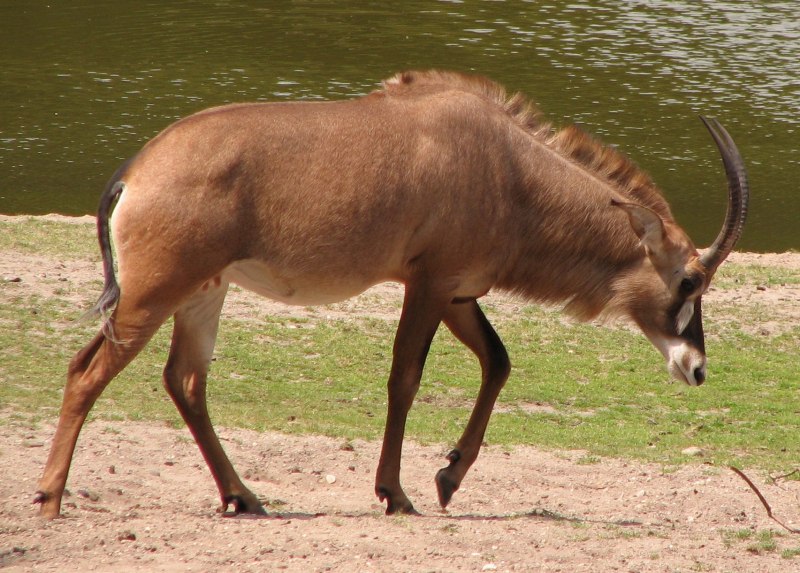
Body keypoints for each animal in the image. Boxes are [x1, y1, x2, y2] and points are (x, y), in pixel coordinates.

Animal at [34, 70, 748, 519]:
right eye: (689, 280)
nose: (697, 369)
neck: (509, 169)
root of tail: (135, 170)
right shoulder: (428, 284)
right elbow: (406, 378)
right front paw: (397, 493)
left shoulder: (458, 293)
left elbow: (498, 362)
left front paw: (448, 477)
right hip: (153, 295)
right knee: (85, 371)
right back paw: (51, 499)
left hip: (203, 295)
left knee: (184, 379)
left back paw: (245, 497)